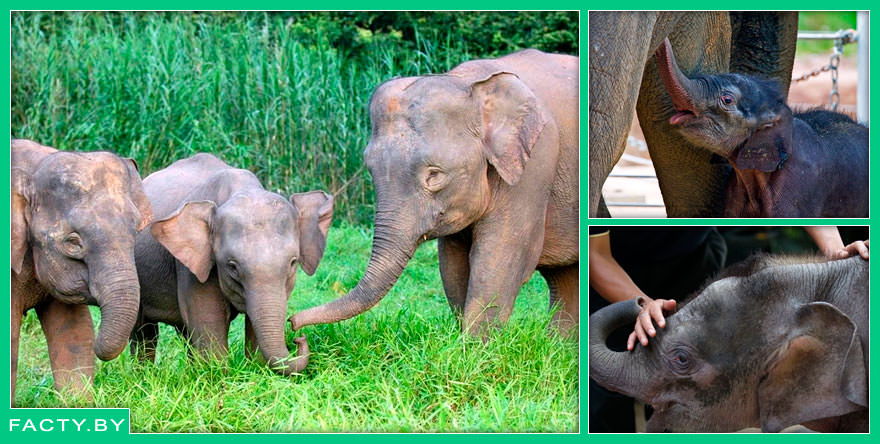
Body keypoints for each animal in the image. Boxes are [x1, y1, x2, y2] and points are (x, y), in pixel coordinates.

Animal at [132, 153, 332, 375]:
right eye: (232, 266)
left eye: (293, 263)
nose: (298, 334)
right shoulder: (192, 267)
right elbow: (208, 321)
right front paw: (217, 376)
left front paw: (257, 370)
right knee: (145, 332)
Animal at [291, 49, 579, 338]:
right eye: (370, 169)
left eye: (434, 175)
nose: (293, 324)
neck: (467, 82)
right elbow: (452, 265)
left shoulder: (535, 166)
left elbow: (499, 260)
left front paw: (475, 347)